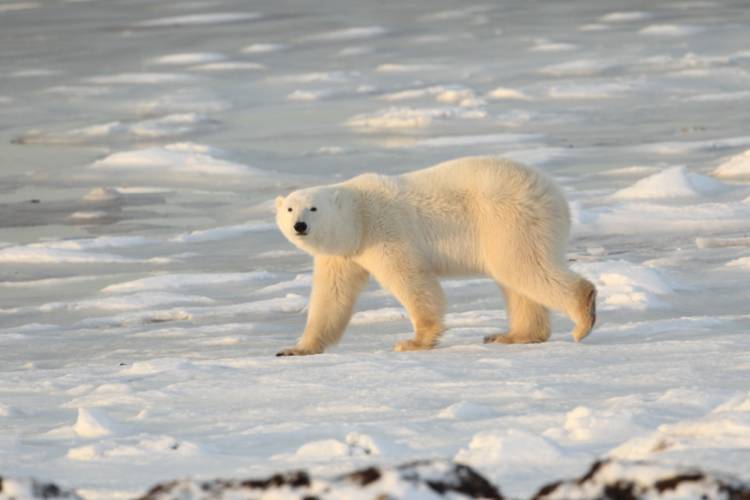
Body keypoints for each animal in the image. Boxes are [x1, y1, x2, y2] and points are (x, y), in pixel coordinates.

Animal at [274, 156, 596, 356]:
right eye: (289, 208)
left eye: (313, 208)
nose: (299, 225)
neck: (359, 215)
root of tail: (554, 194)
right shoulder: (344, 254)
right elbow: (332, 296)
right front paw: (294, 348)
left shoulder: (386, 230)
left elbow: (410, 279)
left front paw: (413, 341)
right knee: (515, 279)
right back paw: (511, 335)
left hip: (508, 218)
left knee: (522, 267)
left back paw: (582, 318)